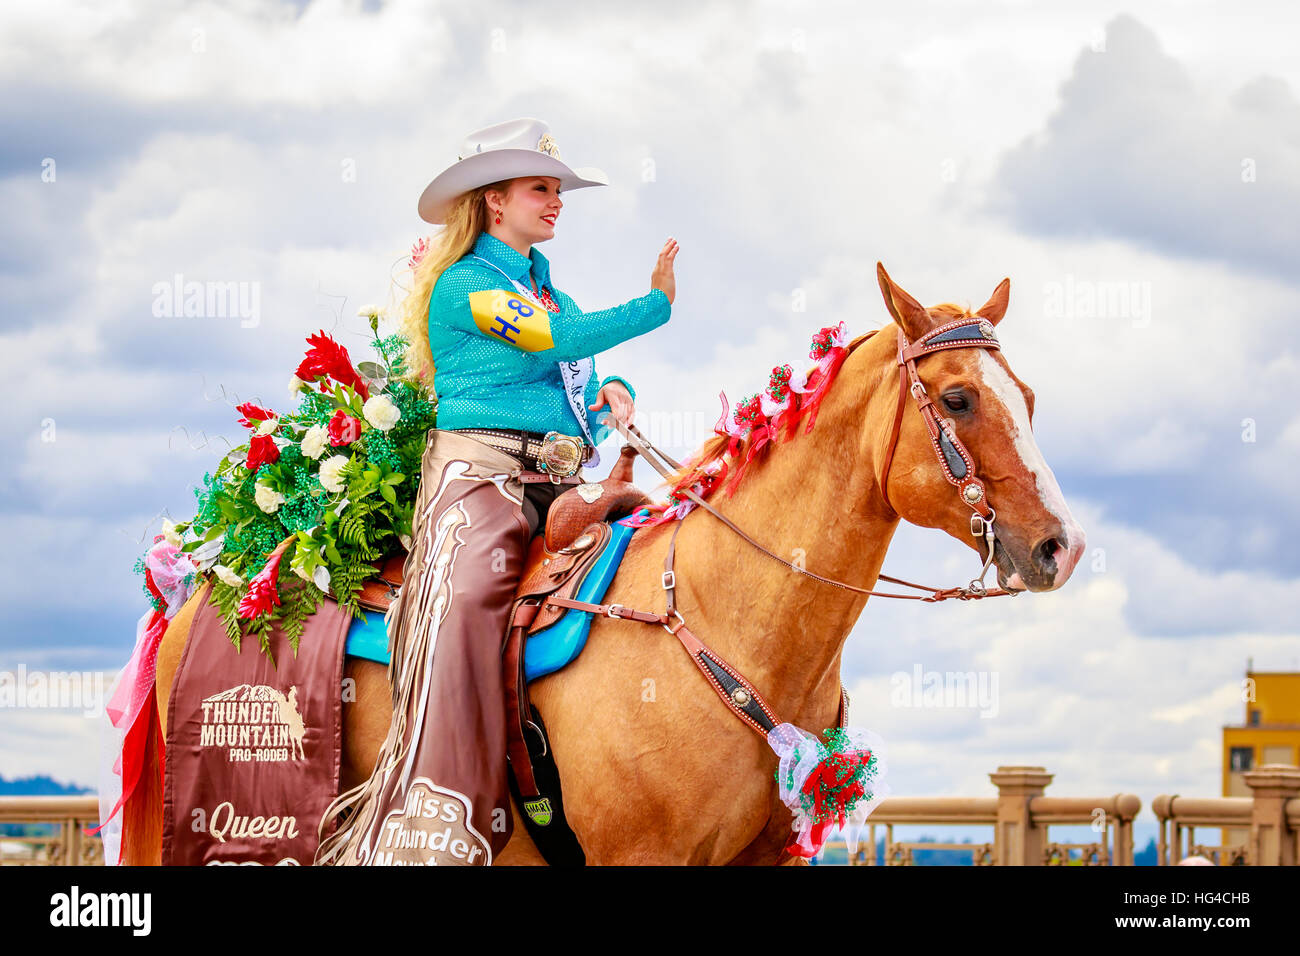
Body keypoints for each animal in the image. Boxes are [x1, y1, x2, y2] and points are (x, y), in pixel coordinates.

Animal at [129, 264, 1086, 868]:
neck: (723, 615)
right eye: (958, 398)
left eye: (1031, 399)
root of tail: (208, 586)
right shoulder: (642, 854)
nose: (1061, 545)